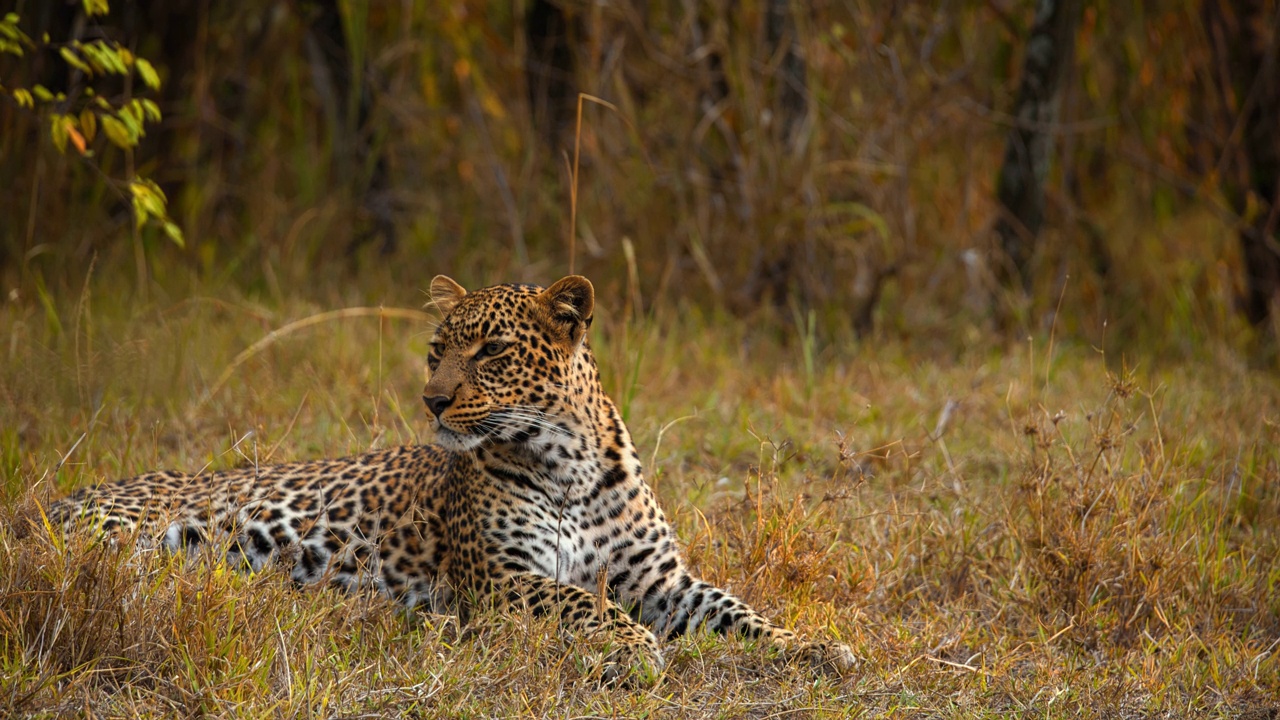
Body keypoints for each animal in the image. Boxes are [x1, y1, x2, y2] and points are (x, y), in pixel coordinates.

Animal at [45, 274, 855, 681]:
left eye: (492, 349)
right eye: (436, 349)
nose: (431, 399)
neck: (568, 464)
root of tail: (56, 500)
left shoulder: (662, 580)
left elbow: (738, 610)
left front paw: (814, 647)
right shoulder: (497, 577)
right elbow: (580, 601)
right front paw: (631, 650)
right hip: (124, 542)